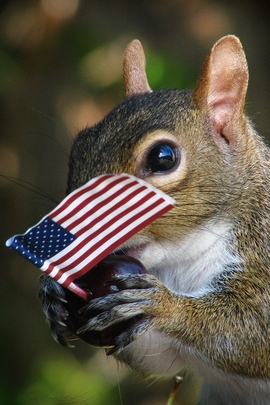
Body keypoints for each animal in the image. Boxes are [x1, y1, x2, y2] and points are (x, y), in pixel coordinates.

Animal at [38, 35, 270, 404]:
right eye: (78, 147)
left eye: (163, 158)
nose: (64, 237)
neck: (183, 261)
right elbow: (159, 358)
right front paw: (53, 289)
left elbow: (252, 335)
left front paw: (163, 306)